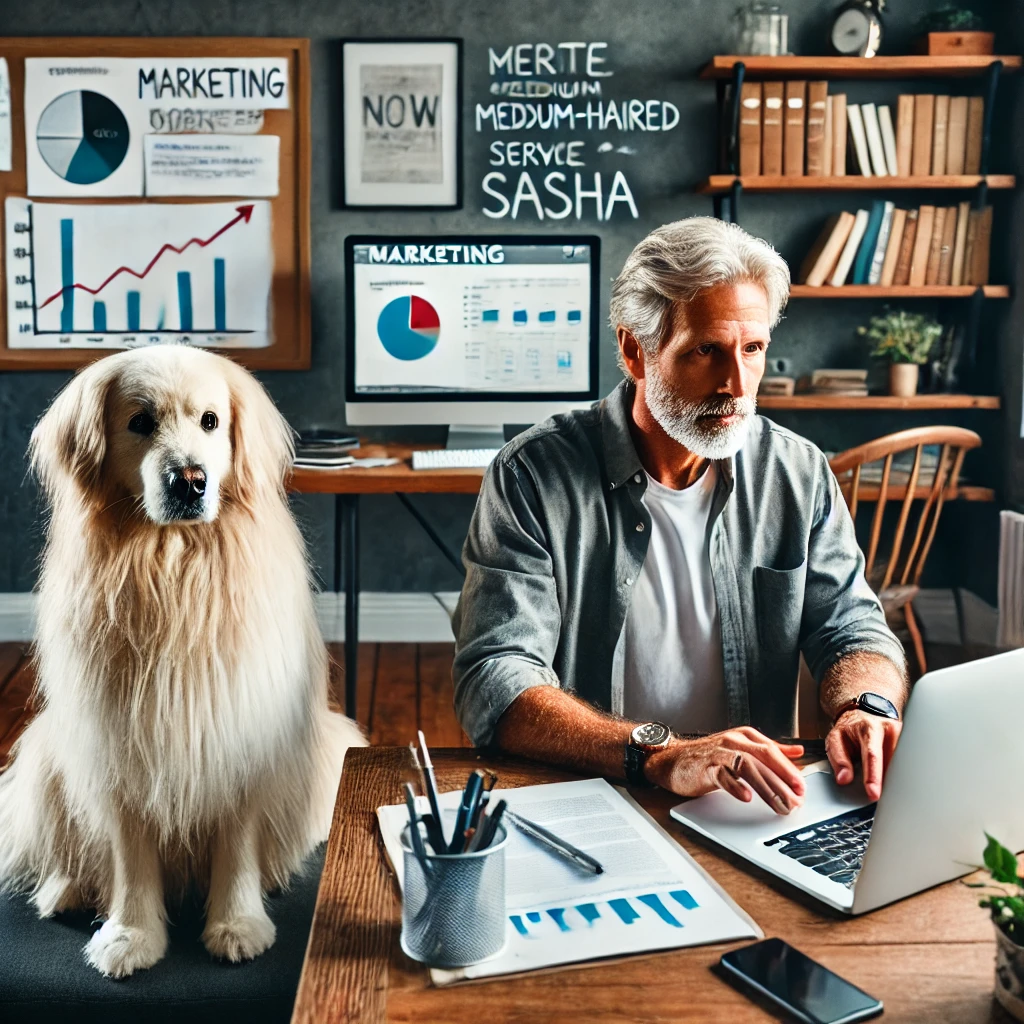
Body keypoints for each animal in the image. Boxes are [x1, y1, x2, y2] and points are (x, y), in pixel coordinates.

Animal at [0, 348, 364, 978]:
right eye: (140, 422)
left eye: (210, 421)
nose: (190, 480)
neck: (175, 568)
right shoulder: (118, 746)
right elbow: (128, 855)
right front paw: (130, 935)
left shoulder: (239, 738)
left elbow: (237, 844)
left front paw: (237, 924)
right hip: (47, 754)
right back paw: (64, 890)